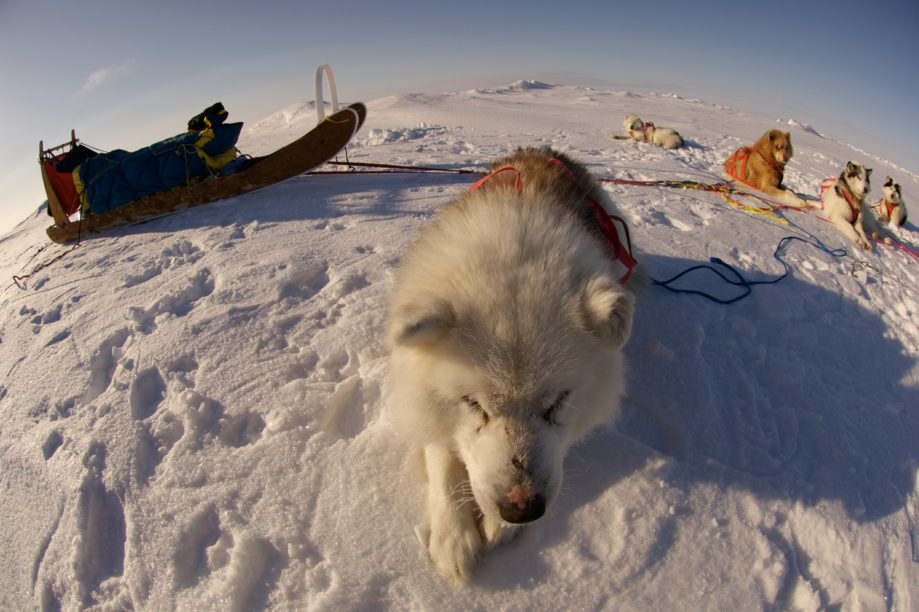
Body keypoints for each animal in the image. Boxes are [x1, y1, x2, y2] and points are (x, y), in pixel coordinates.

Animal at [384, 146, 636, 584]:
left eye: (556, 403)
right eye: (473, 404)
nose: (522, 509)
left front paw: (496, 527)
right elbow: (441, 454)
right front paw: (453, 535)